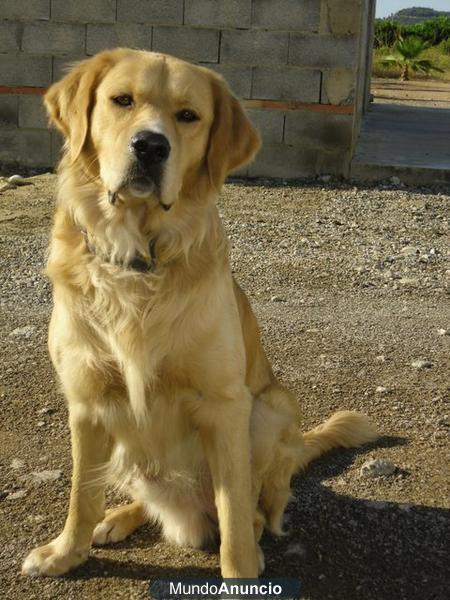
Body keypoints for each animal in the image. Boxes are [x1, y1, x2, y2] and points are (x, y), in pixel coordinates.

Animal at [22, 50, 378, 576]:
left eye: (188, 116)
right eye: (121, 100)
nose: (150, 146)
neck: (139, 258)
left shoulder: (224, 406)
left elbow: (233, 511)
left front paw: (241, 571)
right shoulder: (87, 402)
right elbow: (81, 495)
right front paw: (66, 552)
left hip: (270, 409)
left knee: (256, 511)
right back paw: (118, 518)